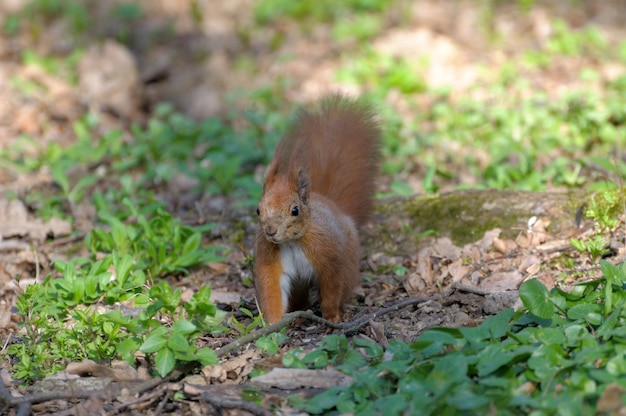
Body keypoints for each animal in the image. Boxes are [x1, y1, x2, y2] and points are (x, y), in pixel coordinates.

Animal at [254, 95, 380, 324]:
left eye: (295, 210)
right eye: (258, 210)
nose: (270, 231)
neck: (292, 241)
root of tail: (334, 206)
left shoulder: (329, 256)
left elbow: (332, 287)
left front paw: (331, 316)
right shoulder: (270, 260)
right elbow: (271, 289)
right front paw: (273, 324)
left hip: (349, 262)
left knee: (344, 286)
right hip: (298, 283)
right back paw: (299, 314)